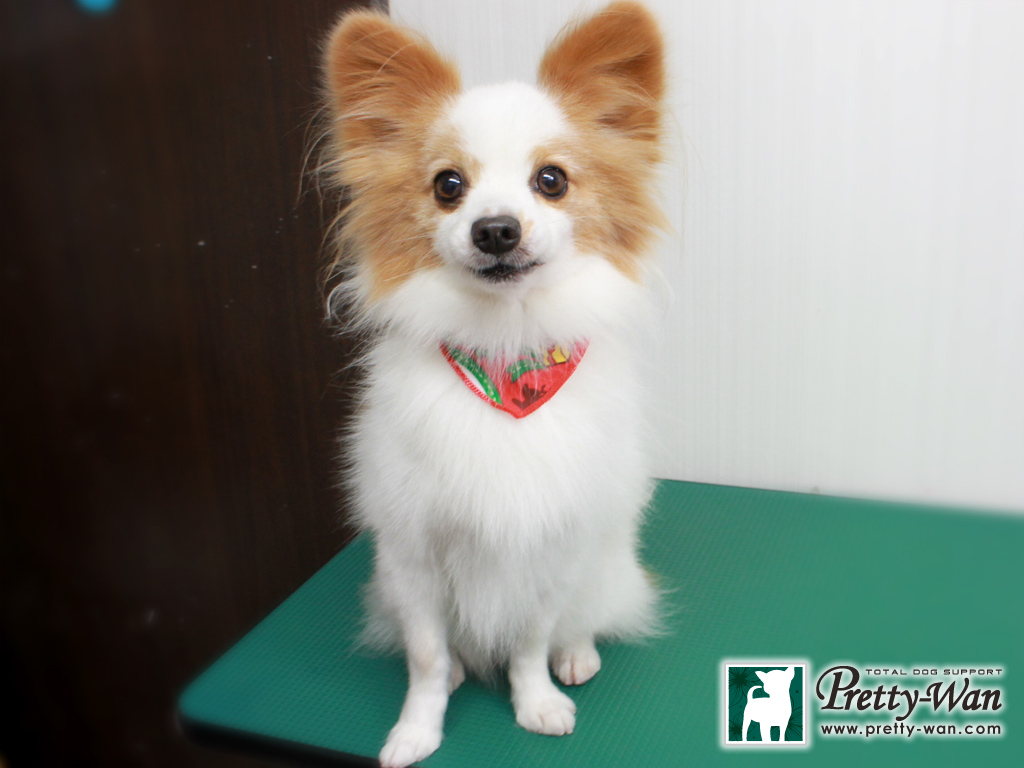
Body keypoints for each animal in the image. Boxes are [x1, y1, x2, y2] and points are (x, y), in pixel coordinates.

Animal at [319, 3, 665, 766]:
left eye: (552, 180)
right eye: (448, 185)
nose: (497, 229)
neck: (505, 355)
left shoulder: (551, 544)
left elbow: (531, 641)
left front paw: (537, 702)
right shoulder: (412, 553)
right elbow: (425, 657)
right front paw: (416, 731)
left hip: (601, 561)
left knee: (581, 617)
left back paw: (578, 653)